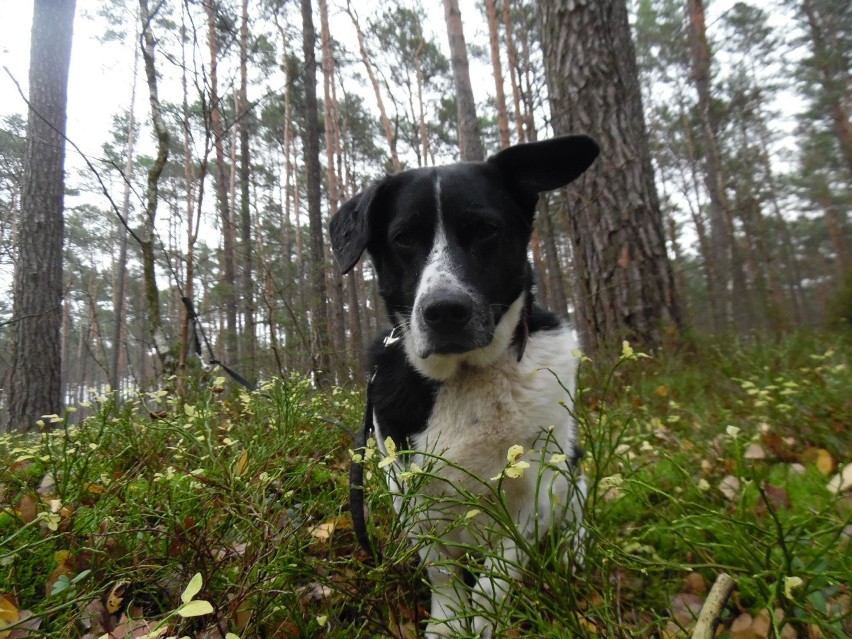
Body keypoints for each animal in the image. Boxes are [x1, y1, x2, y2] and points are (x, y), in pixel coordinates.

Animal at [330, 134, 596, 636]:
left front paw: (484, 619)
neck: (467, 373)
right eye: (403, 238)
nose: (444, 311)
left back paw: (574, 553)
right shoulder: (410, 493)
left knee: (575, 521)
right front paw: (449, 621)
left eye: (486, 230)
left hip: (572, 476)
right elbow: (442, 571)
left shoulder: (535, 490)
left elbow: (497, 574)